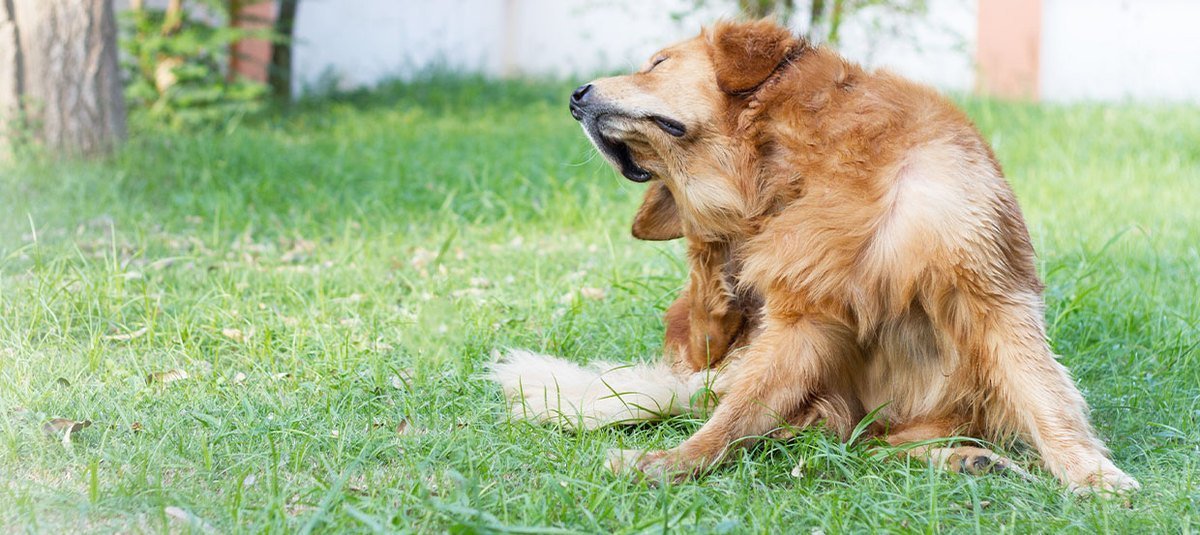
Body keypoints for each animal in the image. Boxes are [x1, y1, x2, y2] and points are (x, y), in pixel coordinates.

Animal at [492, 18, 1137, 494]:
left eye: (657, 63)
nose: (575, 97)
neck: (803, 165)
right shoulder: (806, 315)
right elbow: (738, 414)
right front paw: (673, 463)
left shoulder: (991, 292)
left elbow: (1045, 396)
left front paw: (1092, 474)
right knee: (800, 423)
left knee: (872, 444)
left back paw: (968, 459)